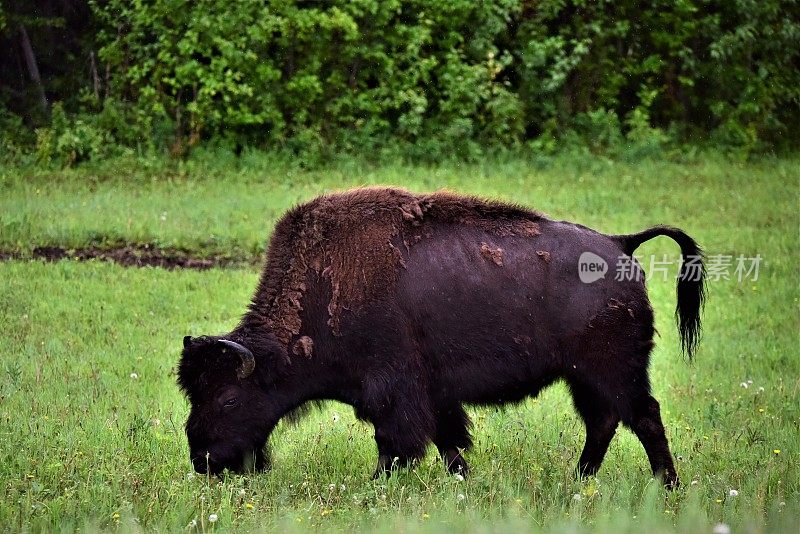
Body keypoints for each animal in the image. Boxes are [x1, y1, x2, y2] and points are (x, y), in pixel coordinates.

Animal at [175, 186, 700, 488]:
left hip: (615, 370)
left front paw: (376, 486)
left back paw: (666, 486)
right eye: (192, 395)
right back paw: (579, 480)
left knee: (643, 417)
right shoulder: (437, 393)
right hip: (584, 377)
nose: (203, 460)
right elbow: (449, 441)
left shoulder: (395, 391)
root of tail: (619, 244)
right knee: (604, 421)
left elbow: (397, 443)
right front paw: (462, 481)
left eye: (227, 398)